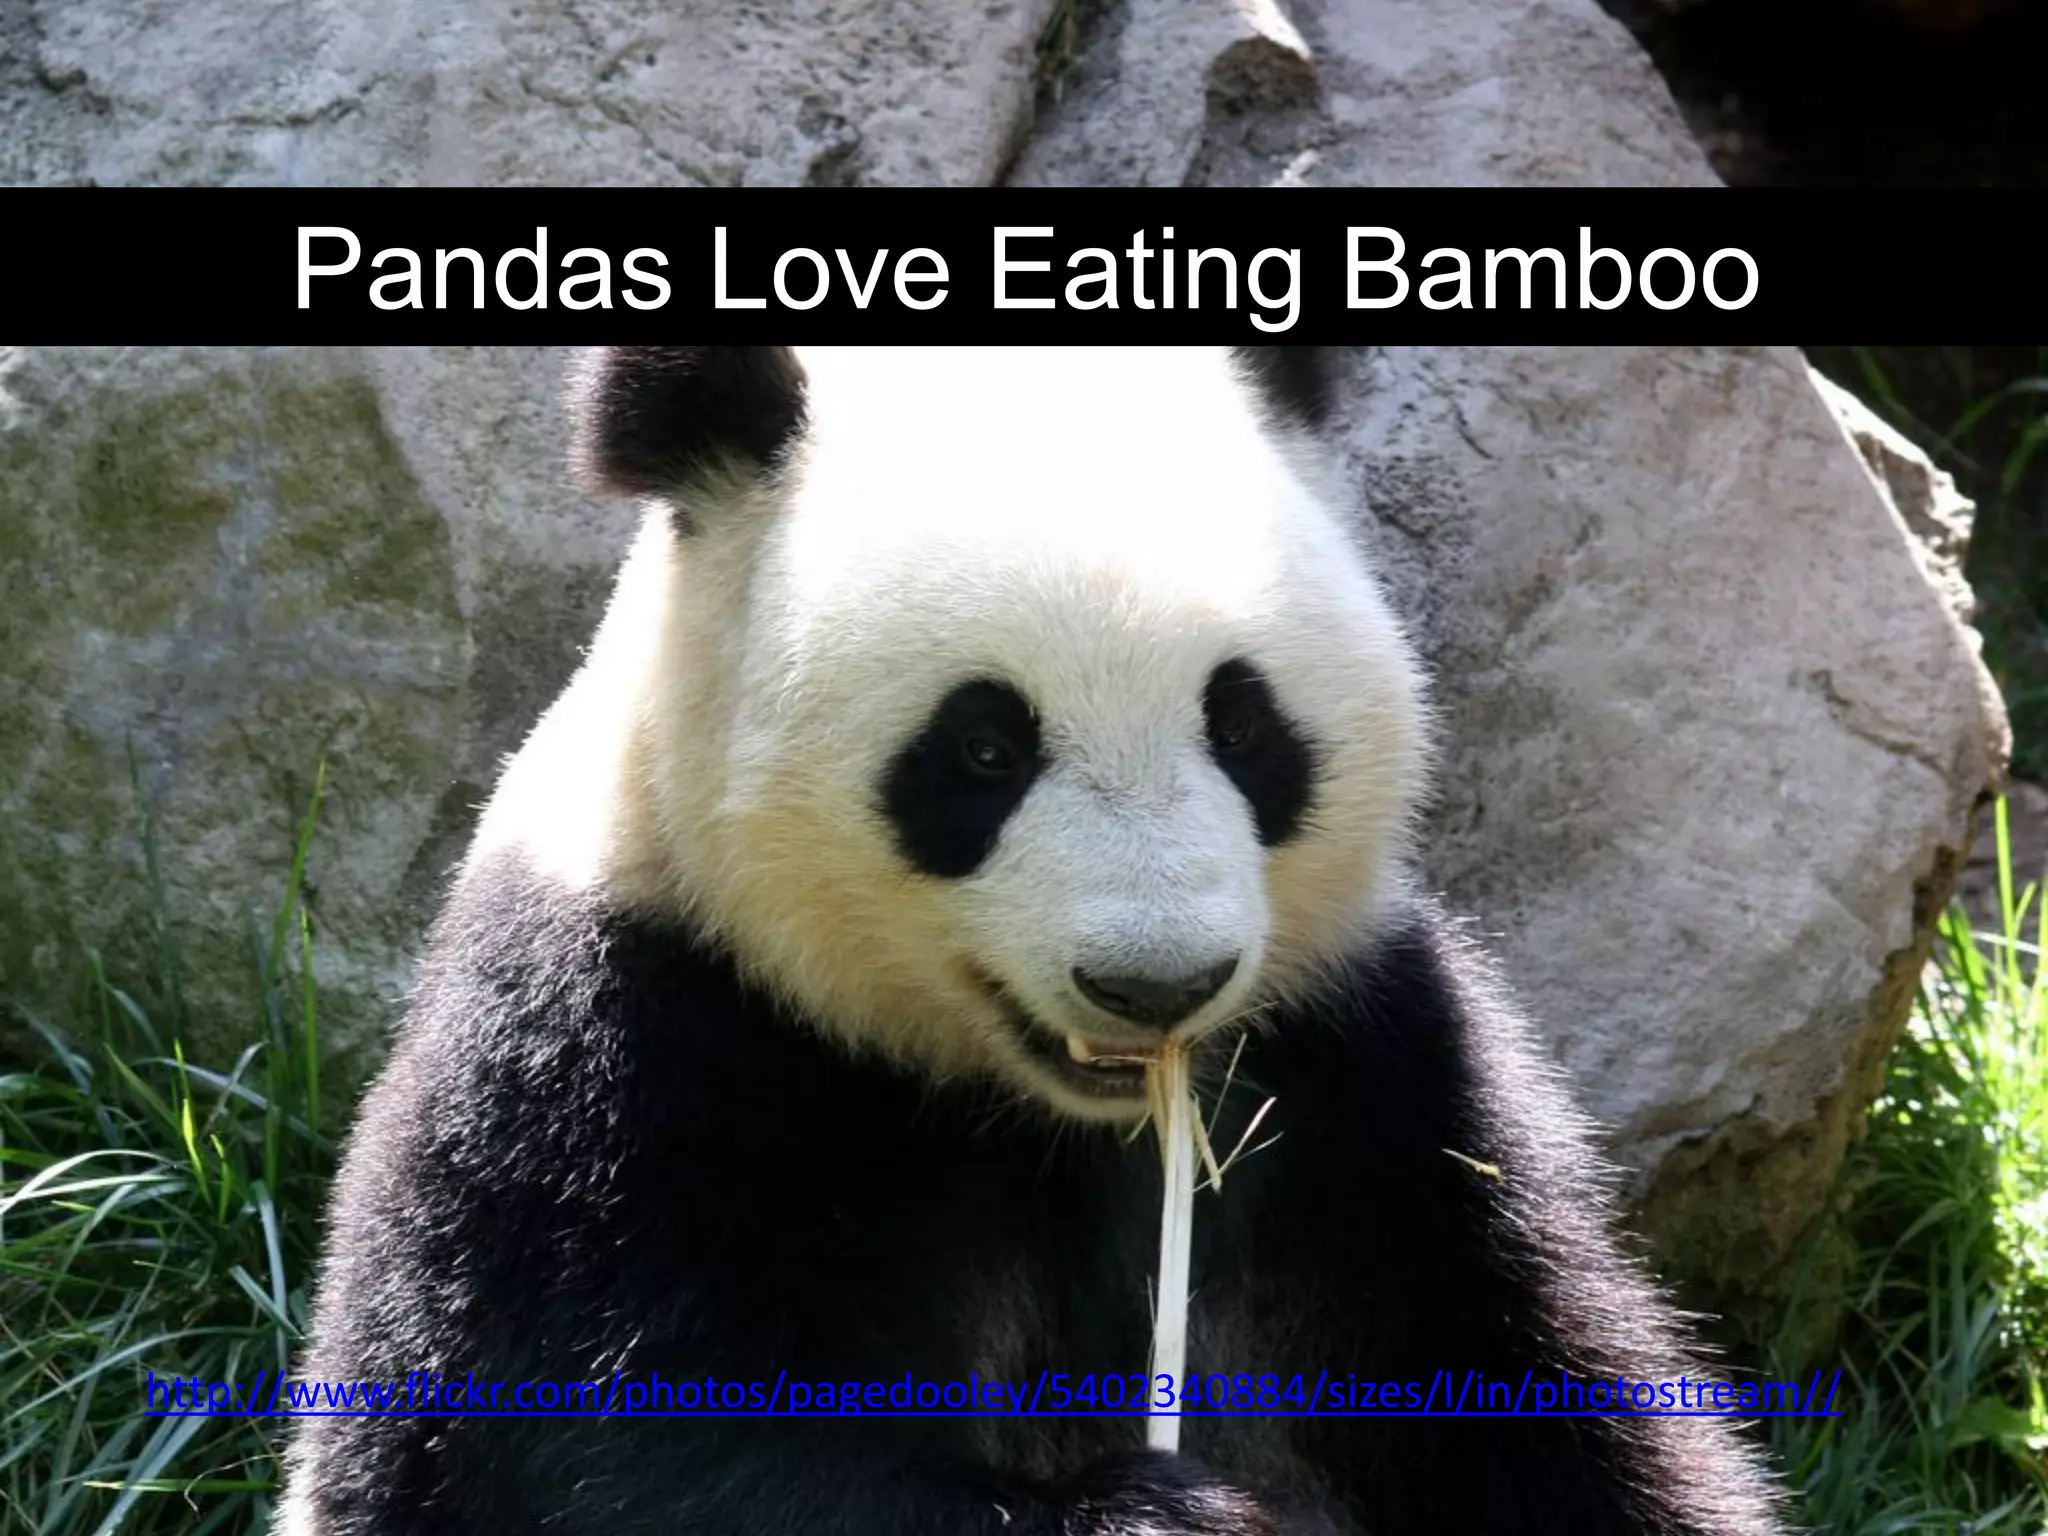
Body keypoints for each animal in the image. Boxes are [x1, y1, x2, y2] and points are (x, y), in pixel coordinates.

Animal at [281, 345, 1789, 1535]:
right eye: (982, 749)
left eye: (1244, 725)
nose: (1156, 981)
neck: (1030, 1116)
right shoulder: (616, 1066)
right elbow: (628, 1451)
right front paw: (1164, 1518)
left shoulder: (1374, 1080)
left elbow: (1535, 1396)